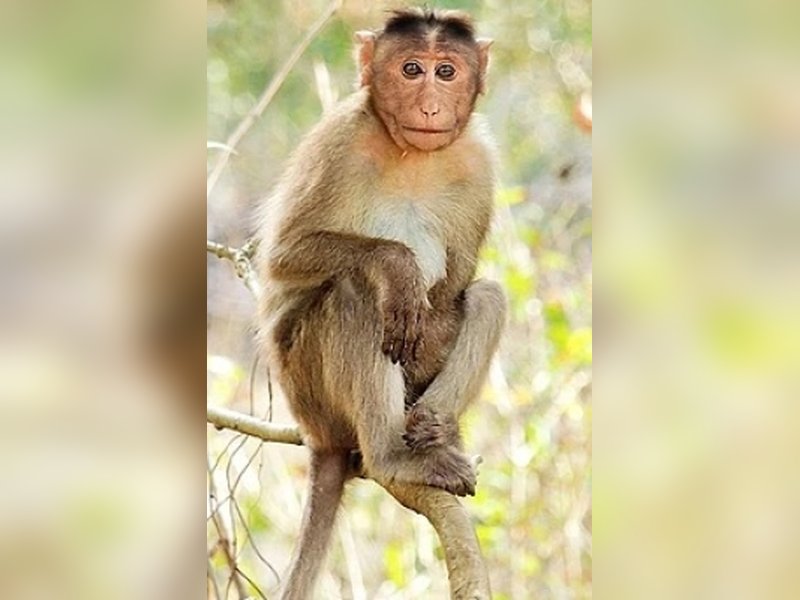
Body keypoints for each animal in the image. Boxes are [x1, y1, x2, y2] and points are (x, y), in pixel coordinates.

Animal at [255, 8, 507, 599]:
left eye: (446, 71)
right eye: (411, 69)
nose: (430, 105)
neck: (412, 154)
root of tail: (319, 438)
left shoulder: (479, 161)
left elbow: (456, 288)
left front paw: (438, 424)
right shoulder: (338, 141)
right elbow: (281, 258)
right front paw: (397, 266)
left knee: (486, 296)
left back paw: (432, 429)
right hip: (309, 389)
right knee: (355, 293)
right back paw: (394, 458)